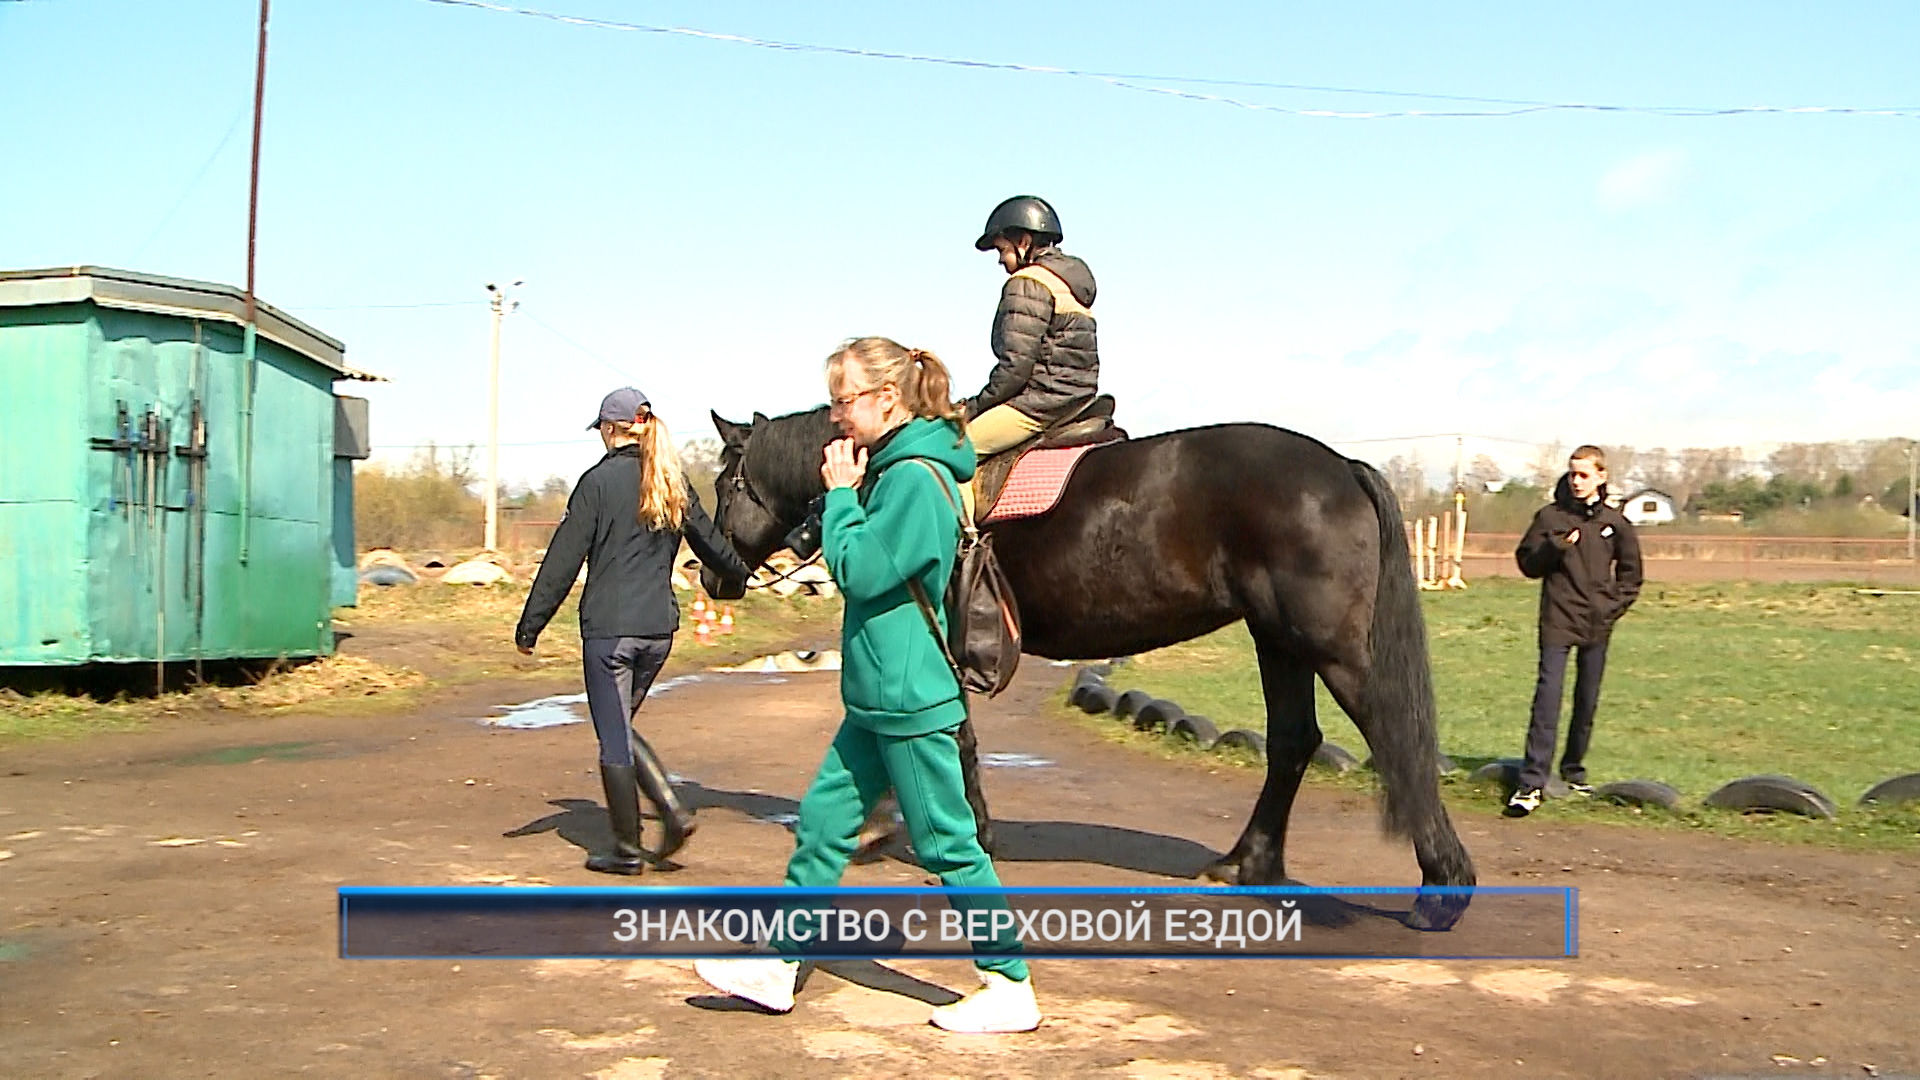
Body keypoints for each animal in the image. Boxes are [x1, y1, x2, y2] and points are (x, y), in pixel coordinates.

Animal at [702, 403, 1466, 926]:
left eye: (726, 481)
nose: (714, 575)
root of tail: (1341, 469)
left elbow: (946, 734)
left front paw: (940, 830)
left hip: (1329, 648)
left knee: (1392, 737)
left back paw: (1442, 888)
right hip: (1276, 639)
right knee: (1292, 743)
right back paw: (1247, 863)